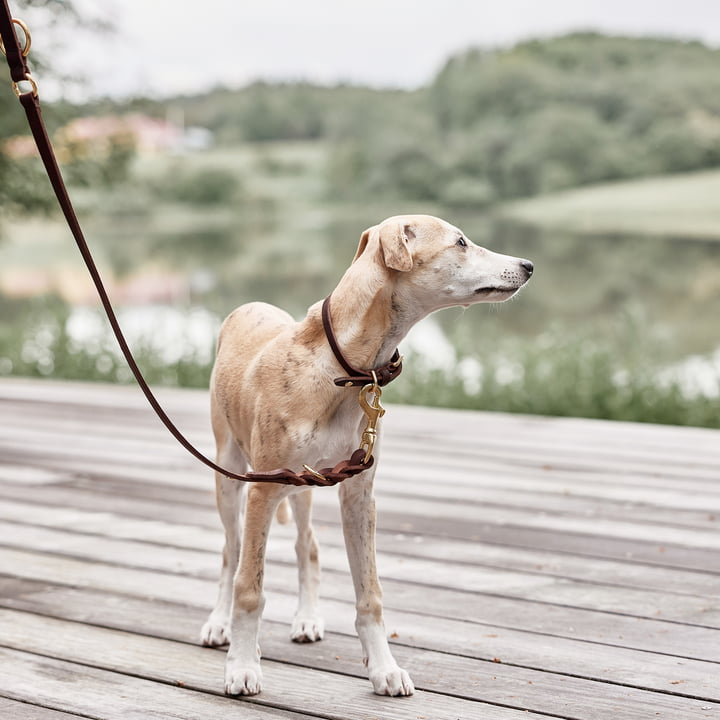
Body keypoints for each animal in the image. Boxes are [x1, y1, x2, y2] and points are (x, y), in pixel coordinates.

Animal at [200, 215, 532, 696]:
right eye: (460, 242)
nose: (528, 265)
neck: (339, 367)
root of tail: (248, 305)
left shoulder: (357, 493)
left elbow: (369, 592)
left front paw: (383, 668)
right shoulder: (262, 490)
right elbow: (250, 587)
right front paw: (243, 666)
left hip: (301, 485)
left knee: (307, 543)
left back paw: (307, 618)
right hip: (231, 474)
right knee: (232, 549)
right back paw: (218, 624)